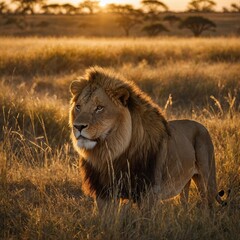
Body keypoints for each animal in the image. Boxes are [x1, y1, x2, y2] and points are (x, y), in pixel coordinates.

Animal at [69, 66, 225, 211]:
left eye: (99, 108)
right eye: (78, 107)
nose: (78, 126)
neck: (111, 153)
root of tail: (200, 125)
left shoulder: (149, 193)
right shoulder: (103, 193)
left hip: (207, 178)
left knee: (209, 204)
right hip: (185, 181)